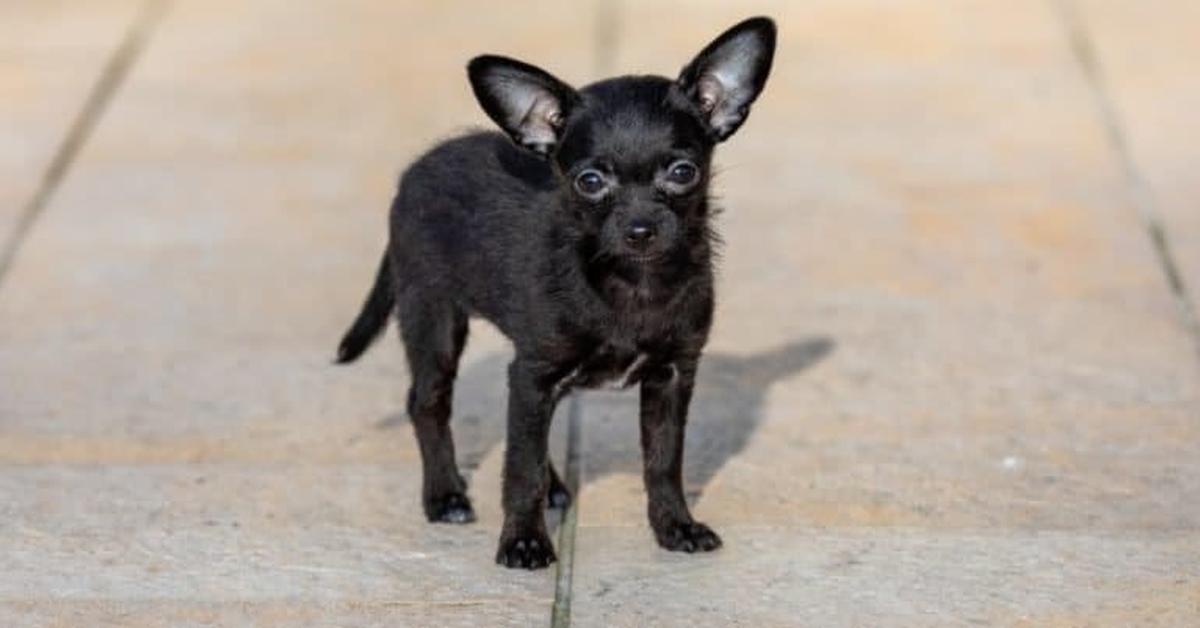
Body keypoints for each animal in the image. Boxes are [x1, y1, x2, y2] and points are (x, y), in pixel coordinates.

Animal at [336, 18, 777, 569]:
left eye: (682, 173)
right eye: (589, 181)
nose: (640, 230)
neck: (632, 282)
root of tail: (414, 172)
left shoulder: (670, 375)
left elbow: (663, 461)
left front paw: (676, 526)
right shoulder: (535, 371)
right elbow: (519, 468)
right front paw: (524, 541)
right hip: (432, 315)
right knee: (427, 402)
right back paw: (445, 495)